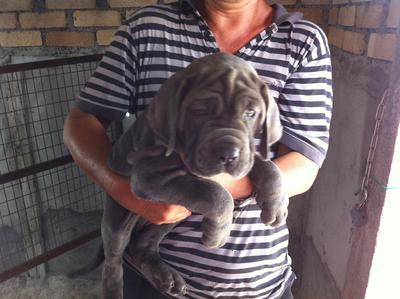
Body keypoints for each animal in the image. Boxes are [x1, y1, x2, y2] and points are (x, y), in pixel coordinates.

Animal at [72, 54, 288, 299]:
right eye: (200, 111)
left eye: (250, 113)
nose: (228, 154)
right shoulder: (149, 176)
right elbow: (216, 194)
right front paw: (218, 234)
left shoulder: (246, 154)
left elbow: (265, 164)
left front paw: (276, 204)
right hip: (120, 218)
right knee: (113, 263)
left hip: (168, 222)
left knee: (142, 246)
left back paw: (165, 276)